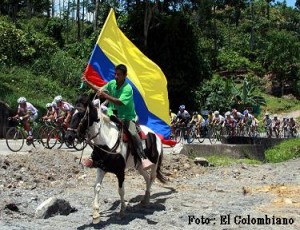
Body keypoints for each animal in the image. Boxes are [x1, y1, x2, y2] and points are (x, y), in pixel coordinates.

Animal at [65, 94, 166, 224]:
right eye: (71, 113)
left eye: (81, 114)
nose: (68, 136)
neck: (107, 141)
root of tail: (156, 136)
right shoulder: (101, 168)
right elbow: (96, 187)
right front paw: (96, 214)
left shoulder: (120, 171)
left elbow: (121, 190)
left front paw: (122, 211)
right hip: (139, 166)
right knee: (147, 178)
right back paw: (144, 200)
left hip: (154, 163)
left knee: (152, 177)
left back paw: (147, 200)